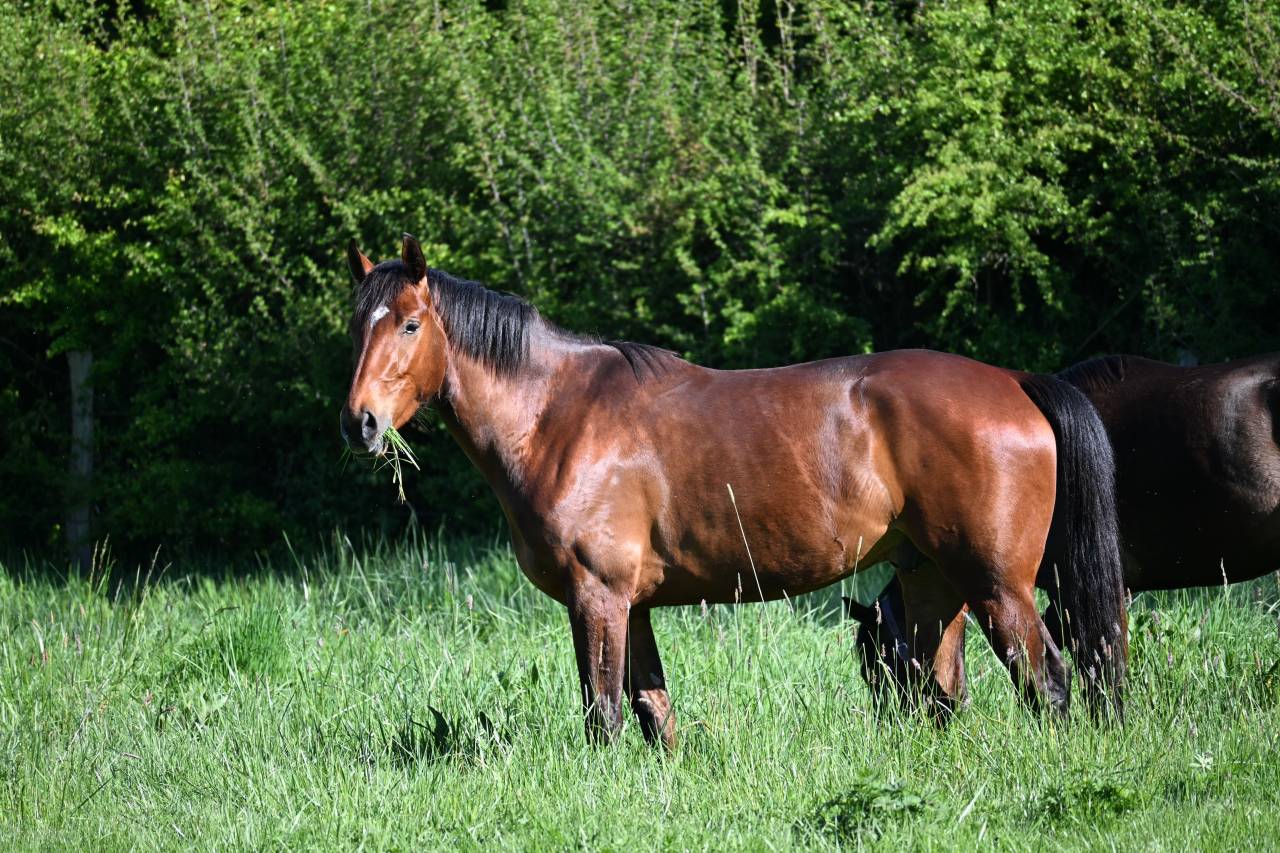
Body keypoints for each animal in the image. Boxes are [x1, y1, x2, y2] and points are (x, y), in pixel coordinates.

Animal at [340, 234, 1128, 747]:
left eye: (410, 324)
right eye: (356, 326)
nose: (361, 423)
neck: (560, 416)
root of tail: (1016, 382)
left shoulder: (597, 598)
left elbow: (605, 714)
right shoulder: (633, 604)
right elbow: (654, 711)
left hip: (997, 586)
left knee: (1048, 684)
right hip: (932, 580)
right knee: (937, 691)